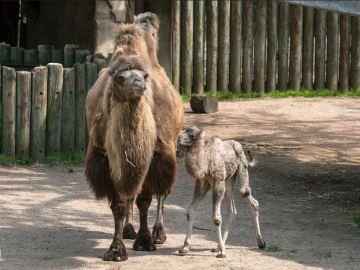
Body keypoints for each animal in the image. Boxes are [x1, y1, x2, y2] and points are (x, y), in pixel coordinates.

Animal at [177, 126, 264, 258]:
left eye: (192, 135)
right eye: (184, 130)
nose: (178, 139)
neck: (205, 163)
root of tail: (239, 146)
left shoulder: (218, 182)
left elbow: (216, 219)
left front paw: (222, 252)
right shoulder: (202, 183)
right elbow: (190, 212)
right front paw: (185, 247)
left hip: (241, 168)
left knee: (247, 195)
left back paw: (261, 242)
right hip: (228, 180)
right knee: (232, 210)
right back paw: (218, 246)